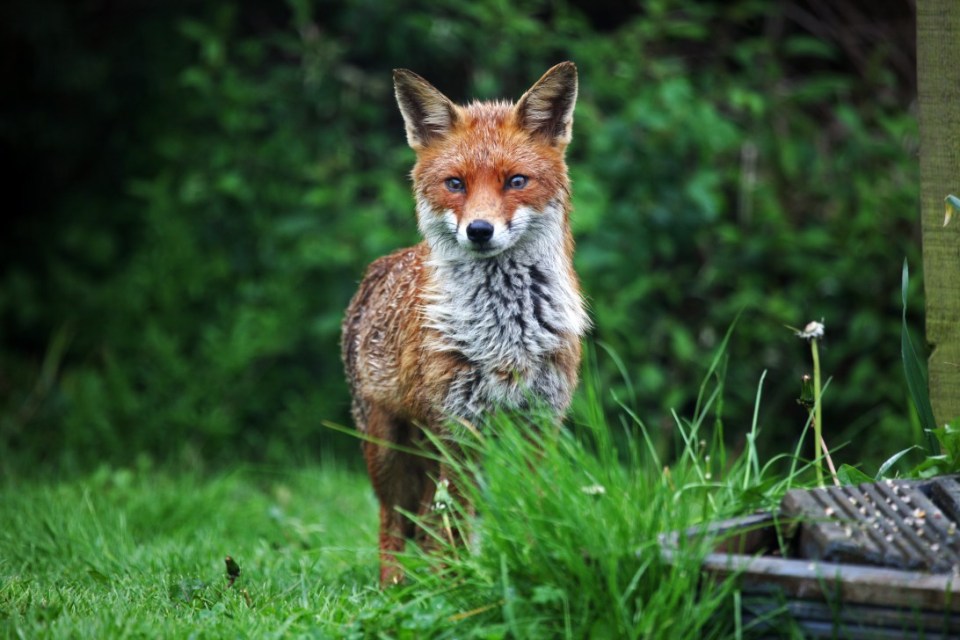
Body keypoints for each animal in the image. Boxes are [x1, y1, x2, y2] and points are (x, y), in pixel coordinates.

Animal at [342, 62, 588, 588]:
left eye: (516, 181)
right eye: (455, 184)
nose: (479, 230)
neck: (507, 333)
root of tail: (380, 267)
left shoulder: (541, 423)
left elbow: (532, 507)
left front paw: (532, 561)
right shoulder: (458, 424)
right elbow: (448, 524)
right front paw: (455, 589)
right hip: (387, 446)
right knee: (392, 521)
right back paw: (393, 588)